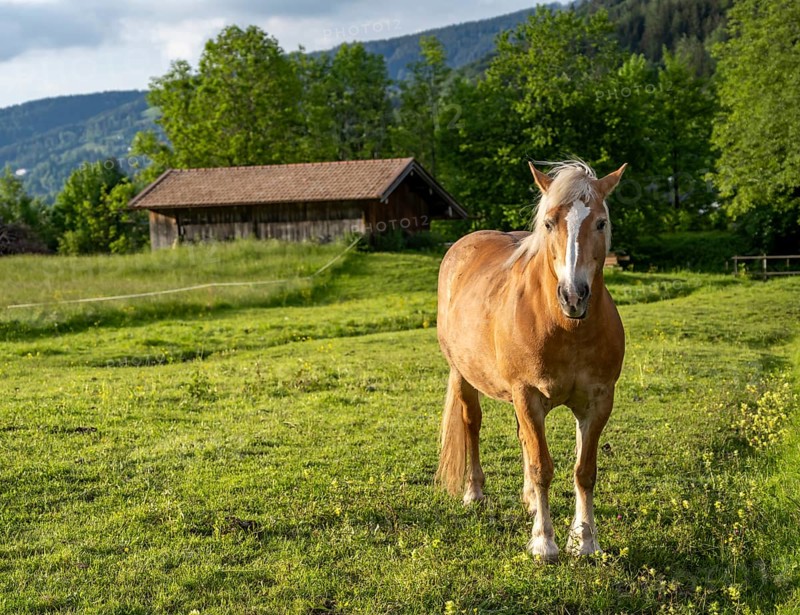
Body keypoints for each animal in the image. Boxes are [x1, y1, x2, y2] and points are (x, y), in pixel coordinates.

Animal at [435, 159, 627, 562]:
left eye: (601, 222)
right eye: (549, 223)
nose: (573, 296)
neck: (566, 329)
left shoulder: (598, 401)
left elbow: (584, 470)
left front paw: (585, 541)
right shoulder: (527, 395)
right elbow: (542, 467)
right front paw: (544, 542)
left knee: (524, 437)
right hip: (463, 376)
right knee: (472, 424)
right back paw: (474, 492)